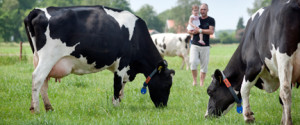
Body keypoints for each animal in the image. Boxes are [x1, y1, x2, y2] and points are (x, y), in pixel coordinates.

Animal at [24, 5, 175, 113]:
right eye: (167, 85)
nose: (163, 106)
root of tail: (38, 11)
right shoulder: (122, 63)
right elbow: (117, 85)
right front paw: (116, 107)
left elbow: (122, 87)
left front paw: (117, 102)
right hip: (48, 57)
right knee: (37, 78)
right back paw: (36, 110)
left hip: (39, 58)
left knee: (43, 83)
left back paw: (47, 108)